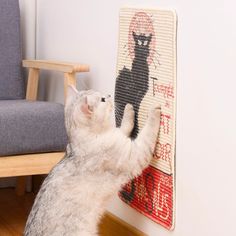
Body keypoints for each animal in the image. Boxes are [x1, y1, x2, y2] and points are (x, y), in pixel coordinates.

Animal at [24, 85, 161, 235]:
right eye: (102, 100)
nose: (109, 95)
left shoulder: (118, 136)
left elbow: (123, 127)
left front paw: (129, 109)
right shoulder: (135, 154)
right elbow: (147, 132)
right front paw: (154, 111)